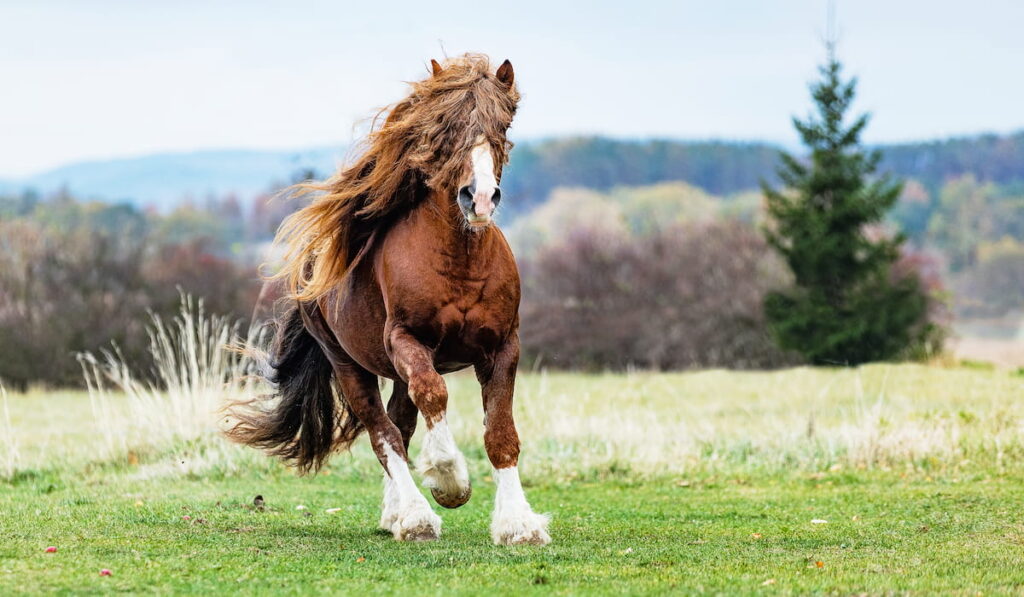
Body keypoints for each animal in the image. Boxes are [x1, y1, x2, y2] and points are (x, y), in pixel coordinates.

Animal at [228, 53, 552, 544]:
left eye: (503, 124)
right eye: (444, 126)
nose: (478, 199)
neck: (459, 261)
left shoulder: (502, 347)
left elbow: (500, 432)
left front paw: (518, 524)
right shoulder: (406, 340)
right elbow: (433, 396)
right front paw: (449, 481)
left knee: (400, 421)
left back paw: (396, 513)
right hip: (349, 364)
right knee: (384, 433)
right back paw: (416, 517)